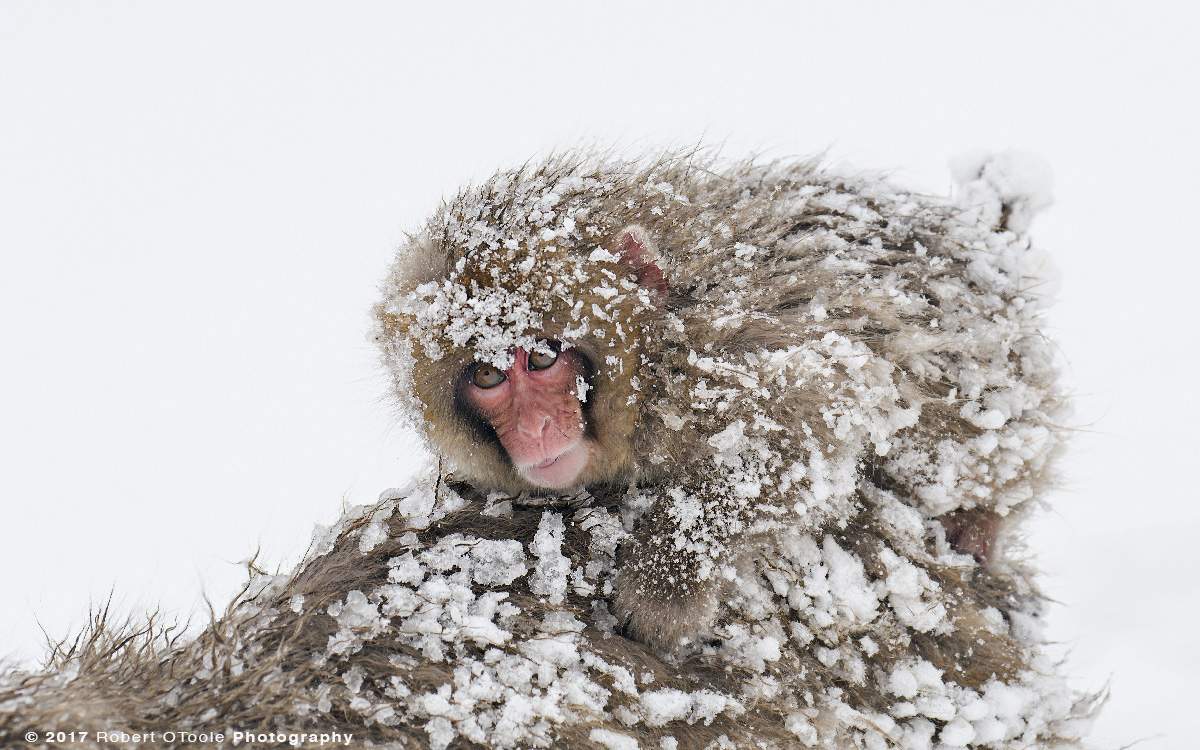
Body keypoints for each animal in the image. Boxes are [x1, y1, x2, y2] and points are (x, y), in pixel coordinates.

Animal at [374, 150, 1060, 643]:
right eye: (488, 377)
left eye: (541, 358)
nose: (537, 430)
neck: (656, 348)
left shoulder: (717, 360)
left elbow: (809, 423)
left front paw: (666, 585)